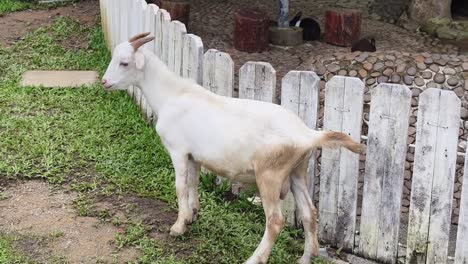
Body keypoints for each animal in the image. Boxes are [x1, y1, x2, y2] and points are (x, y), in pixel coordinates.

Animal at [100, 33, 360, 264]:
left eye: (124, 62)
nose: (104, 82)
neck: (172, 95)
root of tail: (307, 134)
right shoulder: (193, 156)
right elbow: (193, 184)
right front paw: (193, 215)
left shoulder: (178, 151)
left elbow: (180, 187)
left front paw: (178, 226)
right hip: (297, 171)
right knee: (308, 213)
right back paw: (305, 258)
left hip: (270, 174)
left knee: (275, 220)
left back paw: (255, 259)